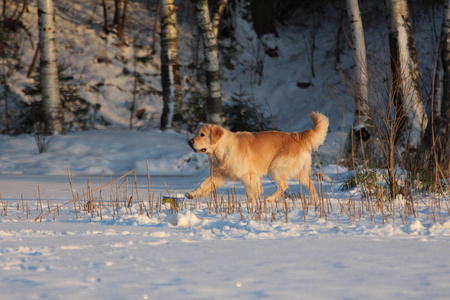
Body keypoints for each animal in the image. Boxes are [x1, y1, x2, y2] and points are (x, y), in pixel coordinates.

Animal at [185, 111, 328, 205]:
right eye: (195, 133)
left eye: (202, 135)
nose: (189, 141)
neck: (221, 150)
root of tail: (296, 136)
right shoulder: (216, 175)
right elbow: (203, 185)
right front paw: (192, 194)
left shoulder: (249, 176)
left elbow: (253, 191)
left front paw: (252, 205)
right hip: (300, 172)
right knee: (310, 183)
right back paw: (314, 202)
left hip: (276, 168)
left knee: (283, 185)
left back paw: (270, 198)